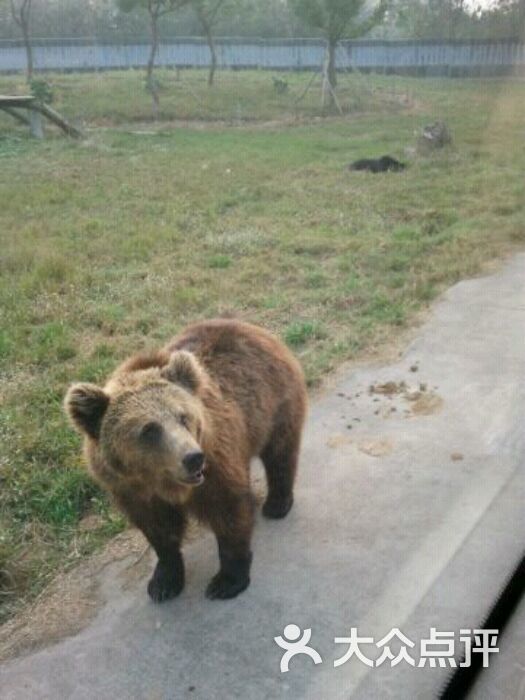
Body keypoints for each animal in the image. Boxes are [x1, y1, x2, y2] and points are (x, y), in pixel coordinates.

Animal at [64, 320, 308, 600]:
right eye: (149, 430)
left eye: (183, 416)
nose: (193, 458)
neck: (161, 481)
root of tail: (246, 325)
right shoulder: (131, 489)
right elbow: (158, 530)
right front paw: (163, 581)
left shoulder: (217, 461)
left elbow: (229, 510)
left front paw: (226, 580)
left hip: (273, 404)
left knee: (280, 453)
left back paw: (277, 503)